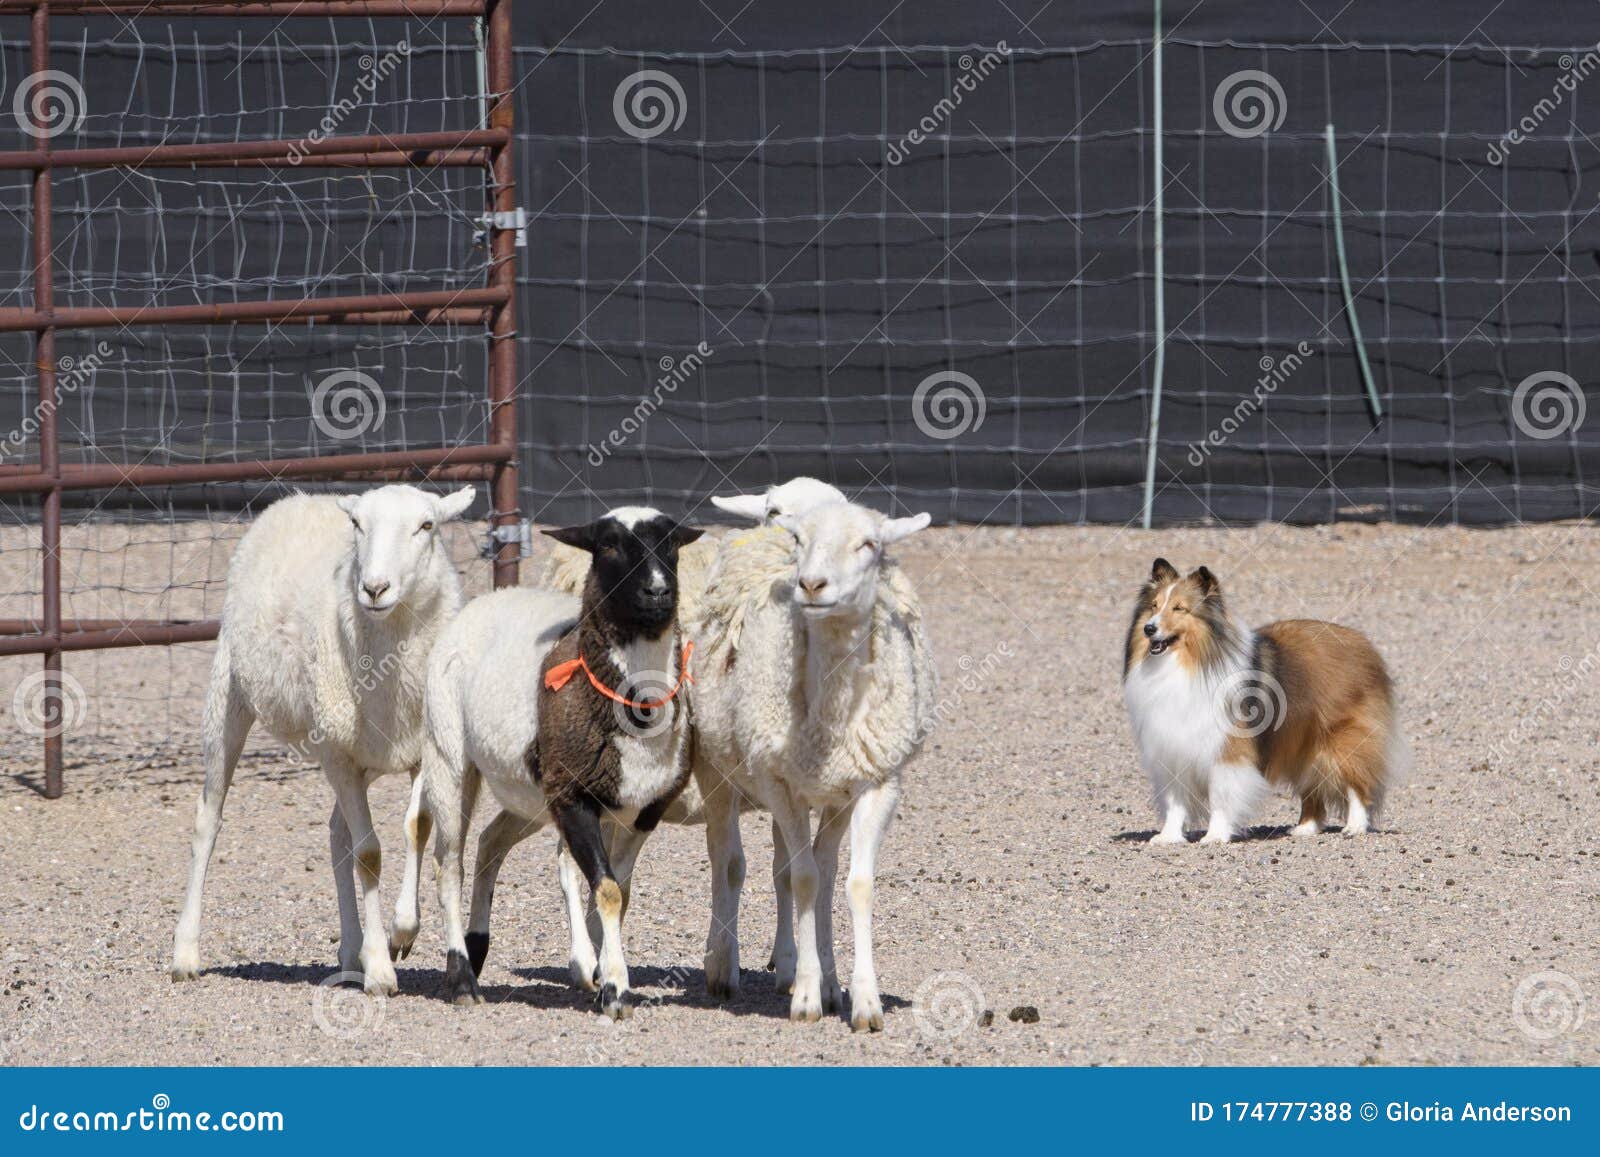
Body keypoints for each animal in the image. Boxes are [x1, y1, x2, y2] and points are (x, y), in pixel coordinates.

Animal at [174, 483, 476, 998]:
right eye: (357, 525)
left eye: (427, 525)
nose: (374, 588)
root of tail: (297, 497)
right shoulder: (338, 755)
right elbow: (370, 855)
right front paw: (381, 970)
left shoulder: (424, 748)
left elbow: (416, 827)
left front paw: (402, 930)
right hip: (230, 695)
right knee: (207, 821)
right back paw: (186, 953)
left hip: (361, 756)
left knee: (338, 835)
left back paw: (351, 951)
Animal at [691, 502, 934, 1024]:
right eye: (800, 540)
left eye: (870, 544)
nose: (812, 585)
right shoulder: (780, 782)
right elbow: (801, 879)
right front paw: (805, 995)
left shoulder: (875, 783)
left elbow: (851, 884)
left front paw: (861, 998)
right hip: (717, 767)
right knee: (728, 860)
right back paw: (722, 964)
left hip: (830, 794)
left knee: (816, 867)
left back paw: (818, 973)